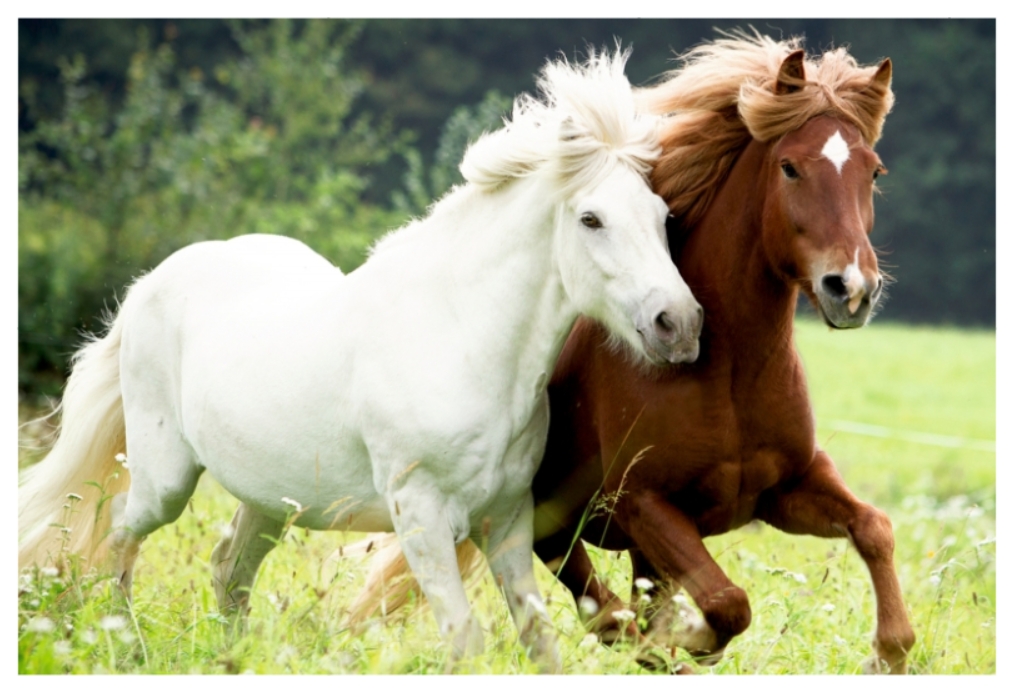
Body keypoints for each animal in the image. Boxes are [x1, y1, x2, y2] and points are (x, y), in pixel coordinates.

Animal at [19, 50, 703, 674]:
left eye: (661, 216)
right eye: (590, 218)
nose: (679, 324)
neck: (461, 339)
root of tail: (148, 286)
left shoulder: (508, 516)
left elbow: (539, 641)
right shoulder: (421, 516)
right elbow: (464, 640)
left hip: (269, 498)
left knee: (228, 569)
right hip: (164, 479)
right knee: (116, 539)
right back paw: (126, 650)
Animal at [351, 31, 914, 674]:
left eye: (874, 170)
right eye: (790, 167)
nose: (852, 289)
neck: (729, 370)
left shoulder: (788, 487)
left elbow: (874, 527)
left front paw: (888, 652)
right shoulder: (643, 505)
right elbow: (726, 605)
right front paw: (688, 642)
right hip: (550, 525)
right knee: (603, 607)